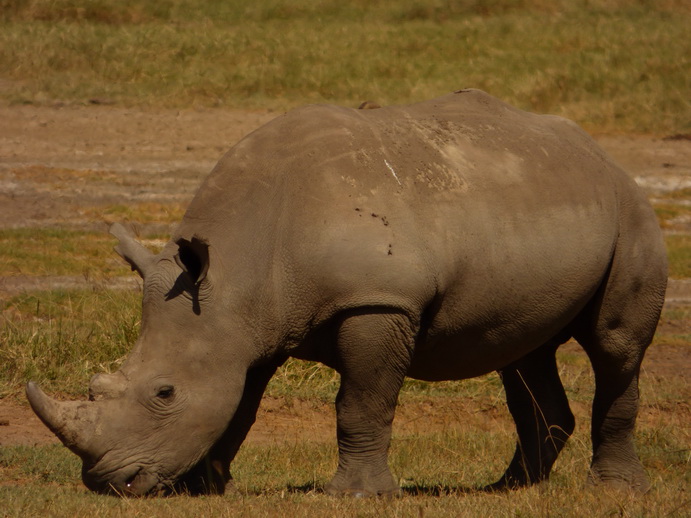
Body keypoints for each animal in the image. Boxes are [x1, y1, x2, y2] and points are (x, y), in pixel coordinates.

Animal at [27, 89, 667, 497]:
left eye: (165, 393)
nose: (109, 484)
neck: (238, 268)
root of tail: (601, 154)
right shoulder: (250, 324)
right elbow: (241, 404)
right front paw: (203, 488)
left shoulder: (377, 300)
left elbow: (361, 401)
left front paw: (356, 496)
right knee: (522, 352)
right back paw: (509, 489)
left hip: (631, 212)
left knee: (614, 348)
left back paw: (614, 493)